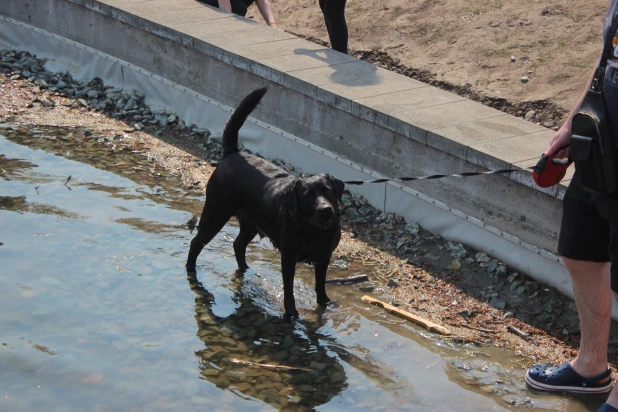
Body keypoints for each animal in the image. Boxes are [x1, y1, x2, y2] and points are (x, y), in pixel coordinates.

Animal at [185, 87, 344, 318]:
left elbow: (320, 285)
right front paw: (291, 314)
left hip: (251, 222)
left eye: (329, 192)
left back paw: (245, 269)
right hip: (216, 212)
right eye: (308, 195)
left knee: (238, 244)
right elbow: (288, 290)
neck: (312, 230)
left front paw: (324, 304)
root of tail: (233, 154)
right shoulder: (288, 258)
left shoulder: (324, 257)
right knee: (197, 242)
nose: (326, 210)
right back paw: (190, 271)